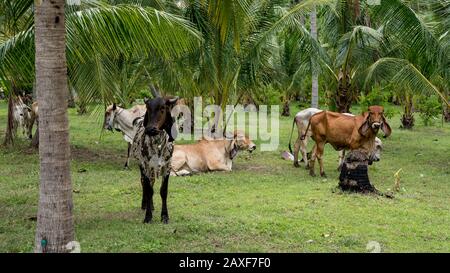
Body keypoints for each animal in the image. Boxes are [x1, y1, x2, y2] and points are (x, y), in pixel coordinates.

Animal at [131, 95, 178, 223]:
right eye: (148, 108)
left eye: (162, 108)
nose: (150, 129)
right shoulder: (146, 165)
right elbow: (148, 190)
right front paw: (148, 216)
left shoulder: (167, 166)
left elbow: (163, 191)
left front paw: (165, 216)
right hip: (142, 166)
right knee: (144, 183)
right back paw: (146, 205)